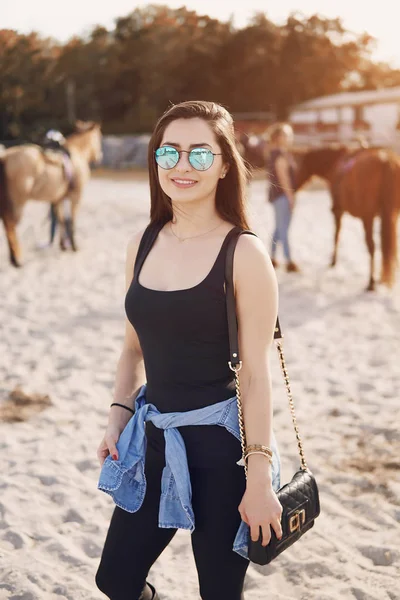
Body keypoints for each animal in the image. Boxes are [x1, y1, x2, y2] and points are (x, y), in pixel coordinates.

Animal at [0, 120, 102, 266]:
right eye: (99, 137)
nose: (100, 156)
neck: (78, 152)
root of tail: (5, 156)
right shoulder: (76, 196)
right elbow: (71, 221)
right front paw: (74, 246)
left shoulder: (58, 199)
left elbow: (61, 220)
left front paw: (63, 245)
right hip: (17, 202)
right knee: (11, 225)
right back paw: (17, 259)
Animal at [294, 149, 400, 292]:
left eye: (297, 167)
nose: (294, 186)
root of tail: (386, 160)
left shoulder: (337, 211)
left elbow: (336, 234)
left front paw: (333, 261)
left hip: (368, 217)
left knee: (371, 246)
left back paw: (371, 282)